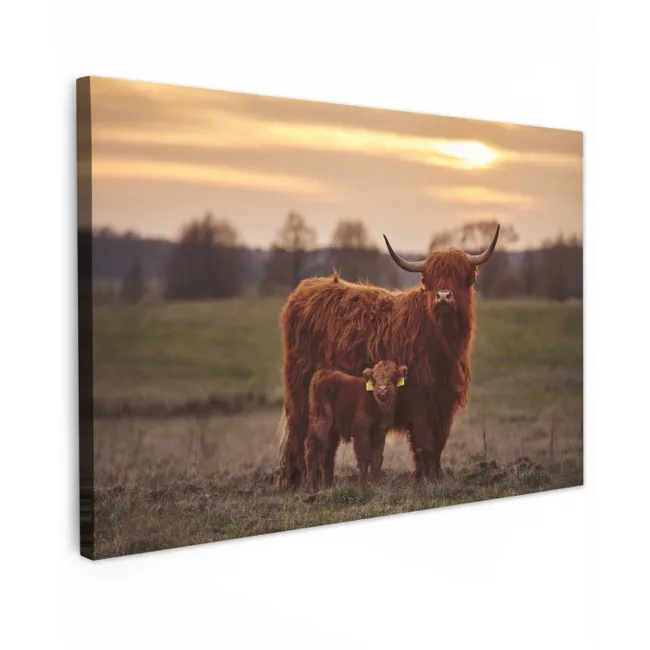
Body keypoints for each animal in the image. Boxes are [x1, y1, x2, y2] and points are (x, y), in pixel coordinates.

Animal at [305, 361, 408, 491]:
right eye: (375, 378)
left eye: (393, 376)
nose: (382, 389)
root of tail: (322, 374)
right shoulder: (361, 430)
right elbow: (364, 457)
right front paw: (362, 487)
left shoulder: (380, 433)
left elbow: (376, 459)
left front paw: (377, 485)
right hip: (321, 421)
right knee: (312, 446)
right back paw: (312, 488)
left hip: (331, 431)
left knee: (327, 453)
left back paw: (328, 486)